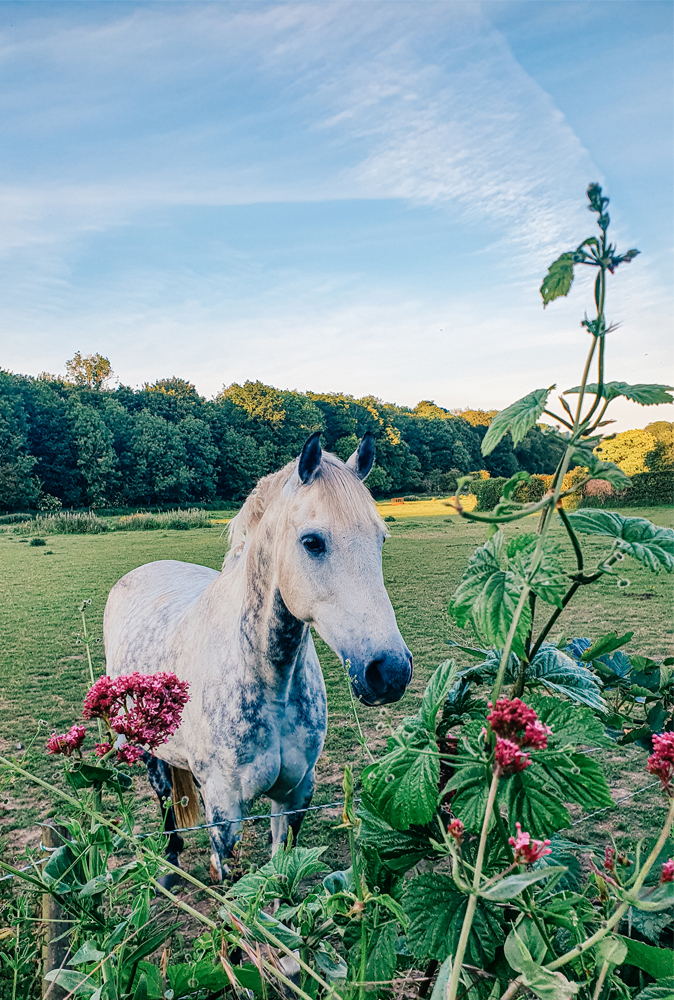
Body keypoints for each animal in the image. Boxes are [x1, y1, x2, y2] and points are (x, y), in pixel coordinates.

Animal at [102, 434, 412, 880]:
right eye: (312, 542)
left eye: (380, 539)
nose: (390, 671)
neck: (268, 681)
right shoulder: (226, 813)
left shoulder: (295, 795)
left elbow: (282, 874)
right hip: (144, 743)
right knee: (163, 794)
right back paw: (171, 862)